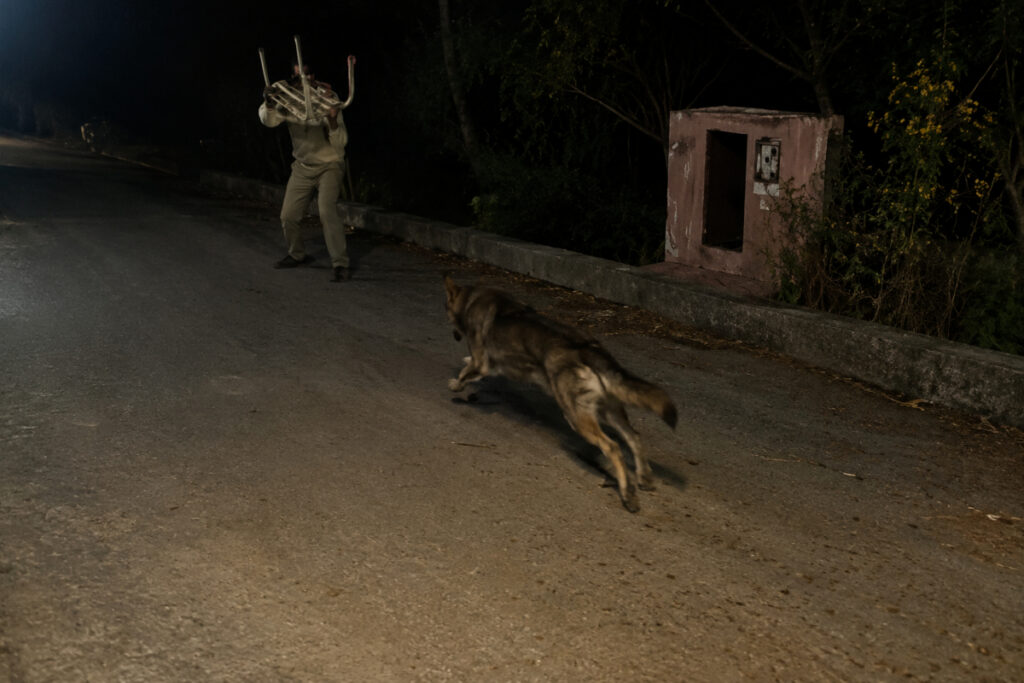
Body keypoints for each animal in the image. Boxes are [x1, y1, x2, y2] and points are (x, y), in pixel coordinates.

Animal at [443, 274, 677, 512]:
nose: (454, 334)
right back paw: (643, 477)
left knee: (613, 447)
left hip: (577, 417)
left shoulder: (481, 363)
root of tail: (587, 349)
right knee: (633, 436)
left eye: (446, 308)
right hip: (609, 411)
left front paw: (456, 385)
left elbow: (465, 373)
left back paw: (628, 494)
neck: (472, 299)